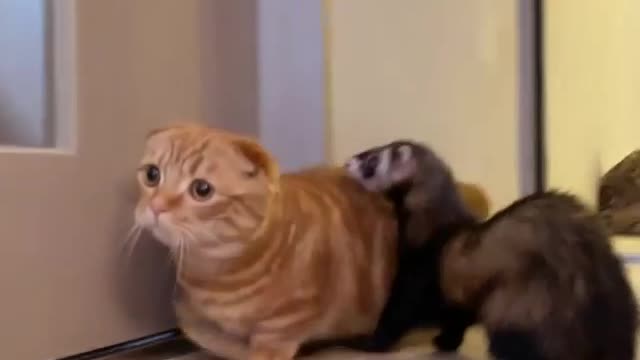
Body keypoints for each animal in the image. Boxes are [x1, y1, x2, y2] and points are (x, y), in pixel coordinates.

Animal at [133, 123, 398, 358]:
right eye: (152, 175)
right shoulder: (190, 318)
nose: (156, 206)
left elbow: (267, 343)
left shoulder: (288, 320)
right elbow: (215, 339)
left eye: (202, 189)